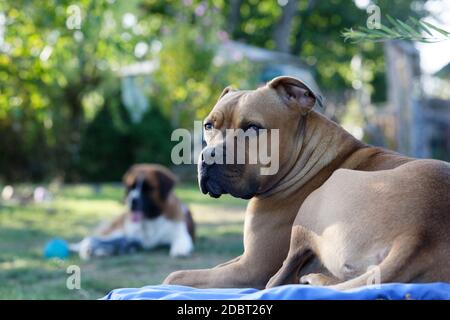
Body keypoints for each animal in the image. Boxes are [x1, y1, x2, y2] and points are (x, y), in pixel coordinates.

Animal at [165, 75, 450, 290]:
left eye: (253, 128)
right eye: (208, 125)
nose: (207, 156)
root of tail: (421, 232)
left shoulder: (250, 267)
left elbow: (174, 276)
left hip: (314, 204)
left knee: (277, 280)